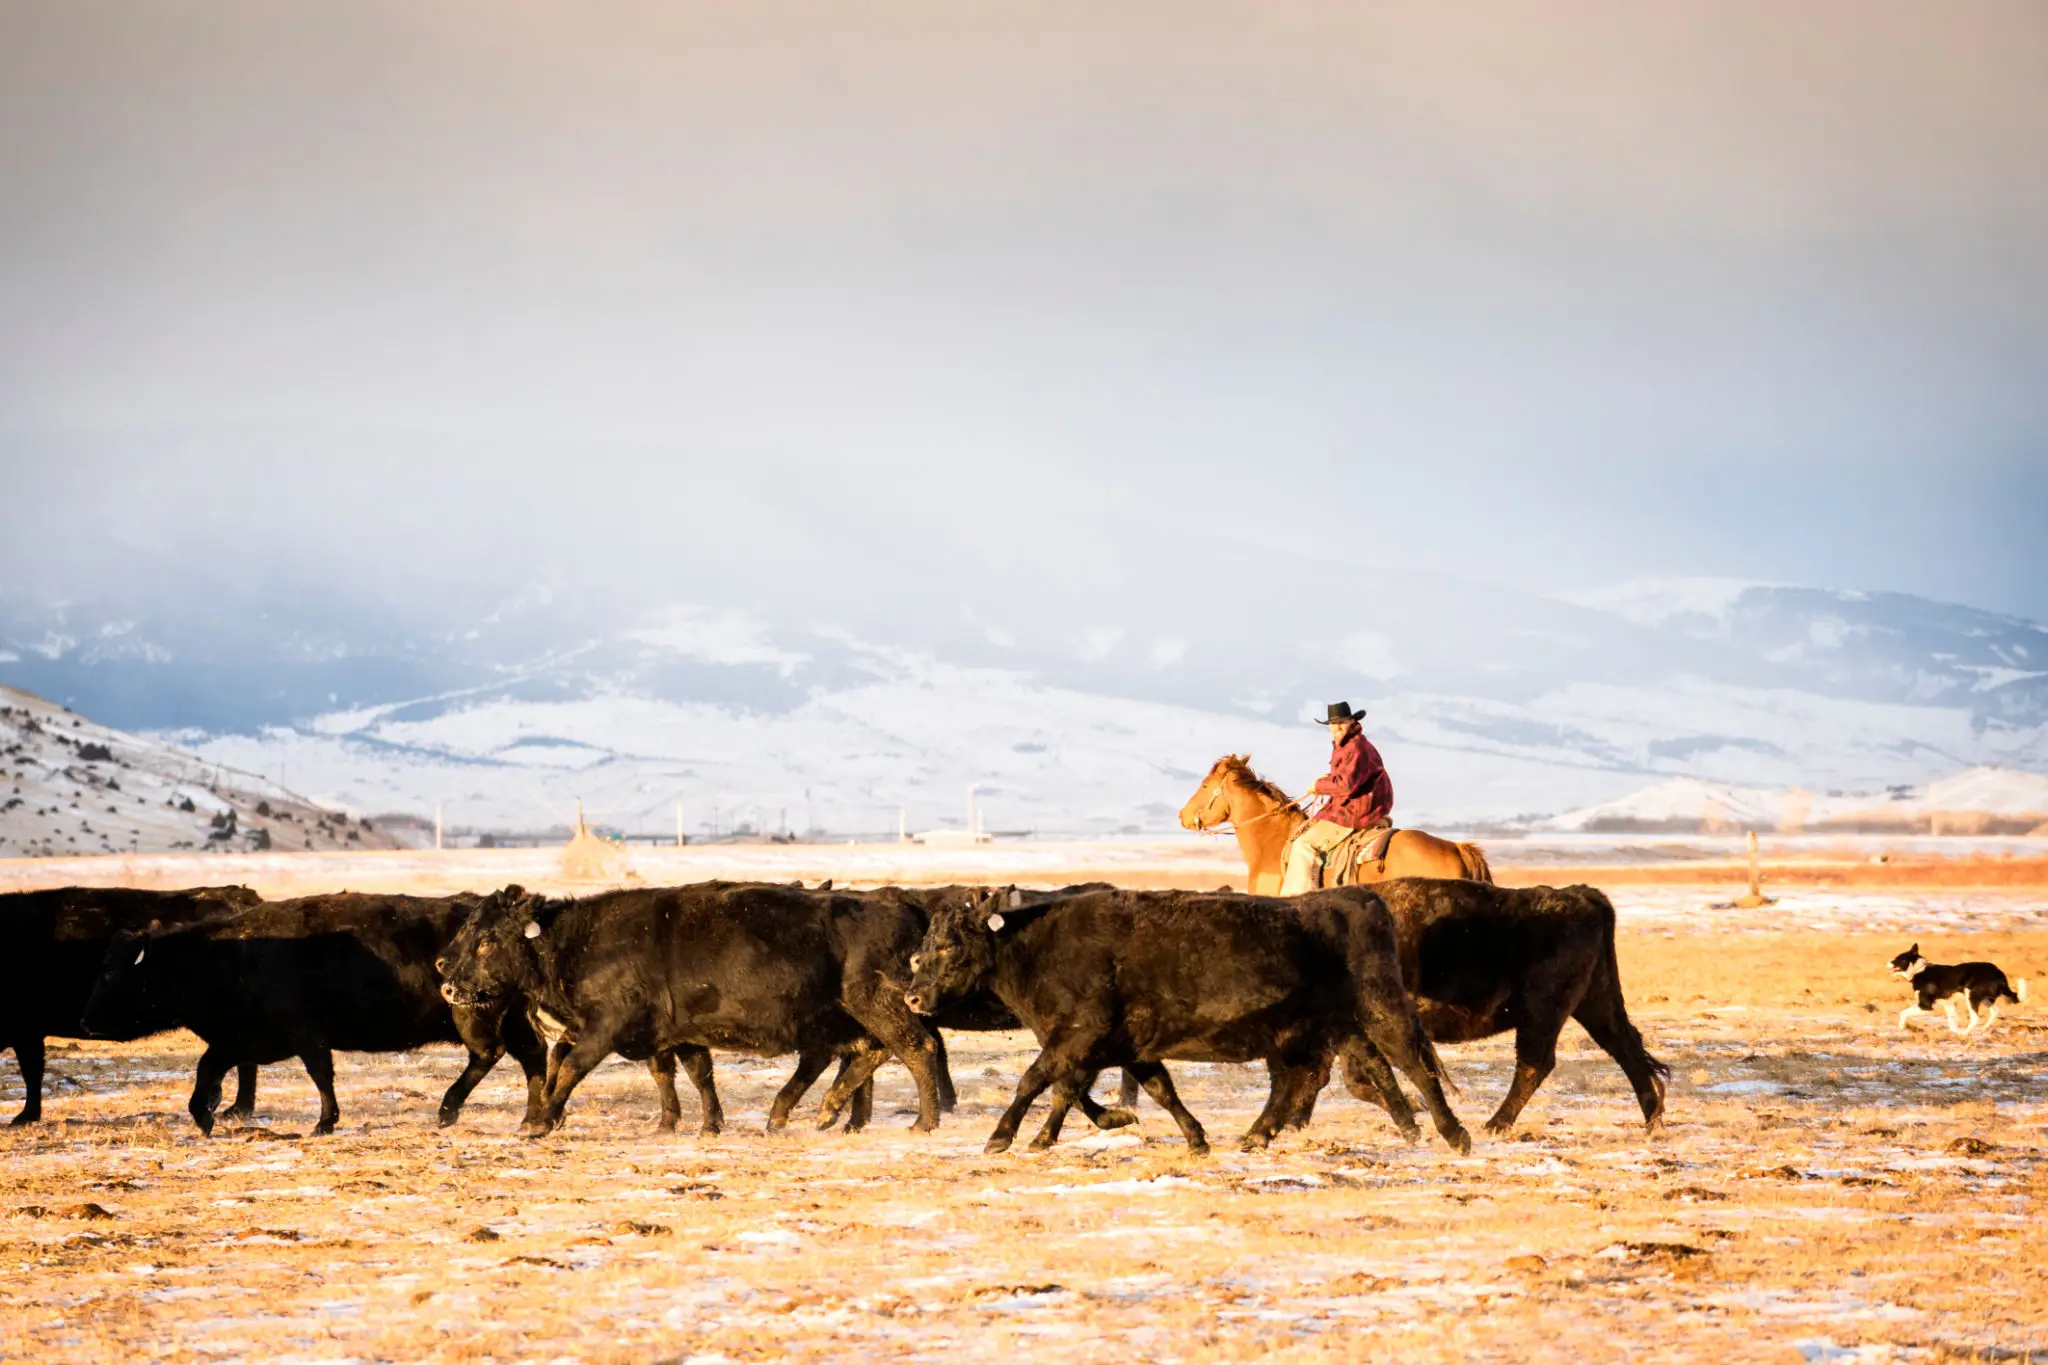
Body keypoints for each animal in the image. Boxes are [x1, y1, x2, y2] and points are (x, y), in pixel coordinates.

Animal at [81, 892, 550, 1135]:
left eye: (114, 973)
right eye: (103, 966)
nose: (86, 1021)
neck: (226, 956)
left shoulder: (304, 1037)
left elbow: (320, 1075)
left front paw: (324, 1123)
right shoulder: (241, 1041)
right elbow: (208, 1069)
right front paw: (207, 1113)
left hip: (475, 1020)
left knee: (490, 1054)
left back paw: (449, 1110)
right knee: (530, 1058)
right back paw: (531, 1117)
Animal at [437, 881, 950, 1138]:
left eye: (487, 939)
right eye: (467, 929)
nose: (448, 983)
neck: (578, 942)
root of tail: (895, 902)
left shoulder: (605, 1028)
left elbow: (571, 1067)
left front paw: (542, 1121)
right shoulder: (676, 1031)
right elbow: (692, 1073)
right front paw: (699, 1124)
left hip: (877, 1004)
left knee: (915, 1048)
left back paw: (923, 1121)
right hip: (854, 1014)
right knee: (865, 1054)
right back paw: (821, 1114)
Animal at [902, 885, 1469, 1155]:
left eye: (948, 944)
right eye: (926, 941)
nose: (912, 996)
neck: (1036, 948)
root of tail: (1360, 897)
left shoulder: (1079, 1035)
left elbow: (1036, 1081)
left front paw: (1003, 1137)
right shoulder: (1120, 1045)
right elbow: (1146, 1090)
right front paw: (1188, 1135)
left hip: (1380, 1010)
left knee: (1415, 1067)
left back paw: (1454, 1133)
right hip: (1303, 1033)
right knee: (1296, 1081)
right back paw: (1256, 1134)